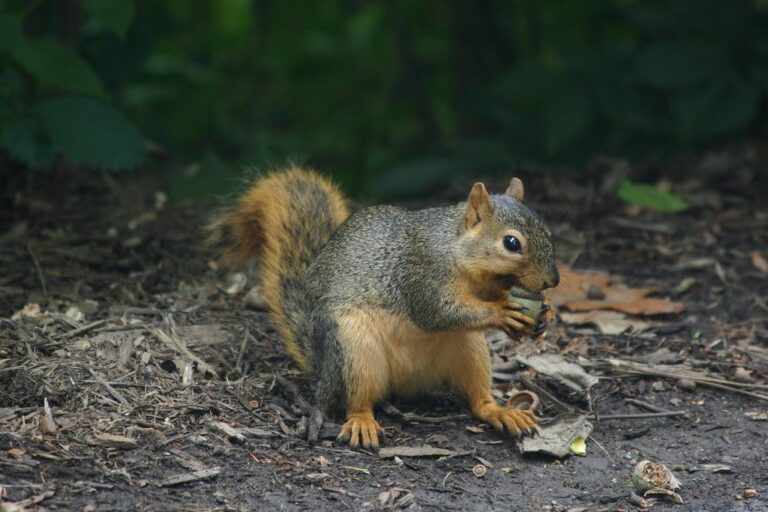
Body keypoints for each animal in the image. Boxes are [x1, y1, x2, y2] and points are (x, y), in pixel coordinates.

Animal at [207, 167, 559, 449]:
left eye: (548, 232)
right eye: (511, 243)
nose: (552, 281)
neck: (455, 249)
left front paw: (547, 312)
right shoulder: (421, 275)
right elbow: (438, 312)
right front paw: (502, 311)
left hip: (469, 349)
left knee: (478, 401)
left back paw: (501, 411)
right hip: (354, 350)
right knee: (355, 400)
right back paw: (362, 421)